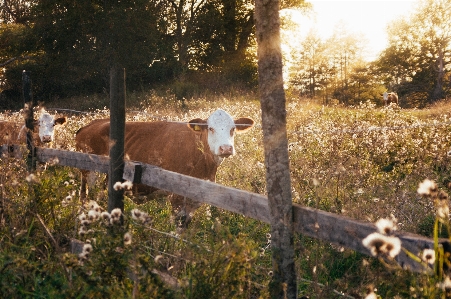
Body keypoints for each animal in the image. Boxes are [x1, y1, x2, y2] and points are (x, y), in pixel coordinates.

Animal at [76, 109, 256, 229]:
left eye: (233, 129)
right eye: (210, 128)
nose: (225, 148)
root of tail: (91, 124)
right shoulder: (176, 197)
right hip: (89, 173)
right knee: (86, 197)